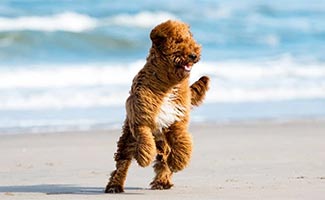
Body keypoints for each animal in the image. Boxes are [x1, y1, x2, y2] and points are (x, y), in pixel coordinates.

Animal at [105, 19, 209, 192]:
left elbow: (182, 142)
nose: (194, 55)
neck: (168, 83)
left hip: (163, 141)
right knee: (123, 162)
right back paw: (115, 185)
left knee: (163, 160)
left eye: (190, 39)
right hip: (128, 137)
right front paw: (144, 156)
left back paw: (162, 181)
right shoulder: (140, 117)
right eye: (179, 41)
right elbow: (145, 138)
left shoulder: (176, 119)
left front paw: (178, 161)